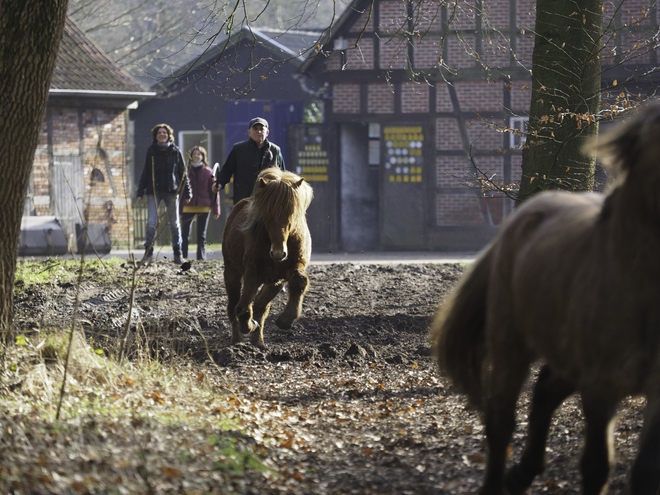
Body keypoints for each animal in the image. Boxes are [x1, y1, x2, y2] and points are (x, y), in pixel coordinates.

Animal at [223, 167, 314, 348]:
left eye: (292, 214)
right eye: (267, 214)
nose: (279, 253)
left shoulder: (291, 269)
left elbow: (299, 282)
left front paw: (286, 320)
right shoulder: (252, 273)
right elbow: (243, 308)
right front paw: (249, 326)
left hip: (273, 281)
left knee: (259, 307)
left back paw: (258, 341)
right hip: (232, 272)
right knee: (235, 306)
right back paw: (238, 340)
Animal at [430, 102, 660, 494]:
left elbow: (645, 471)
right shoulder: (600, 386)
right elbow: (597, 465)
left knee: (545, 391)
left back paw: (523, 473)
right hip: (512, 346)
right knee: (501, 422)